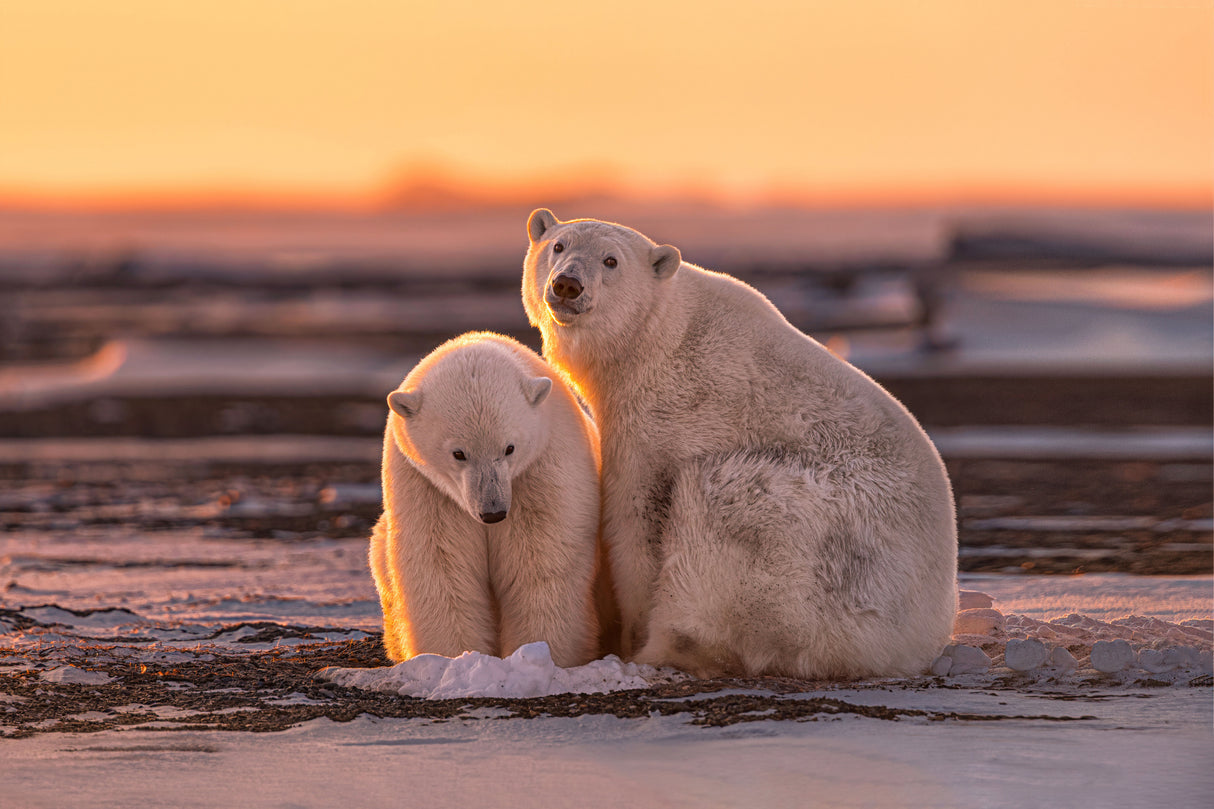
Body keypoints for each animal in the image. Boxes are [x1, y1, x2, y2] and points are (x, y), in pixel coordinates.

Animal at [364, 327, 602, 660]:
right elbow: (440, 562)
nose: (493, 512)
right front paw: (455, 656)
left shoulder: (542, 469)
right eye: (459, 453)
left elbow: (542, 557)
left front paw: (544, 652)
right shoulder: (426, 486)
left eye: (509, 448)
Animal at [522, 206, 956, 675]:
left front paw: (629, 639)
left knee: (724, 502)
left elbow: (637, 521)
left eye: (610, 261)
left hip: (828, 550)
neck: (657, 340)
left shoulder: (665, 419)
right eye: (558, 245)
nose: (568, 284)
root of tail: (922, 639)